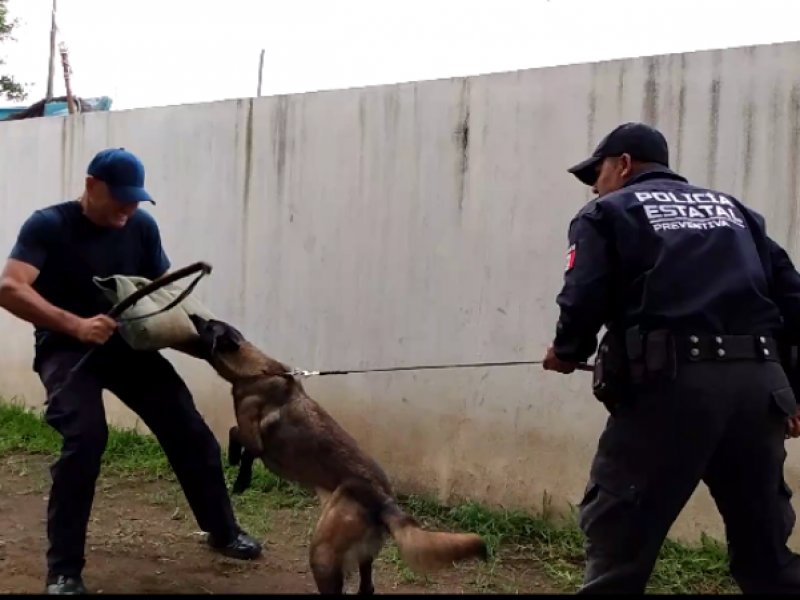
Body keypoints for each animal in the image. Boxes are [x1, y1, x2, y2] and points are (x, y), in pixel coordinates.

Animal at [189, 314, 488, 596]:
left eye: (209, 326)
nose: (193, 315)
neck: (256, 371)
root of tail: (385, 501)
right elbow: (235, 436)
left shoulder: (254, 437)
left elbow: (238, 438)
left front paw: (238, 472)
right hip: (361, 552)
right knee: (367, 587)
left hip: (323, 552)